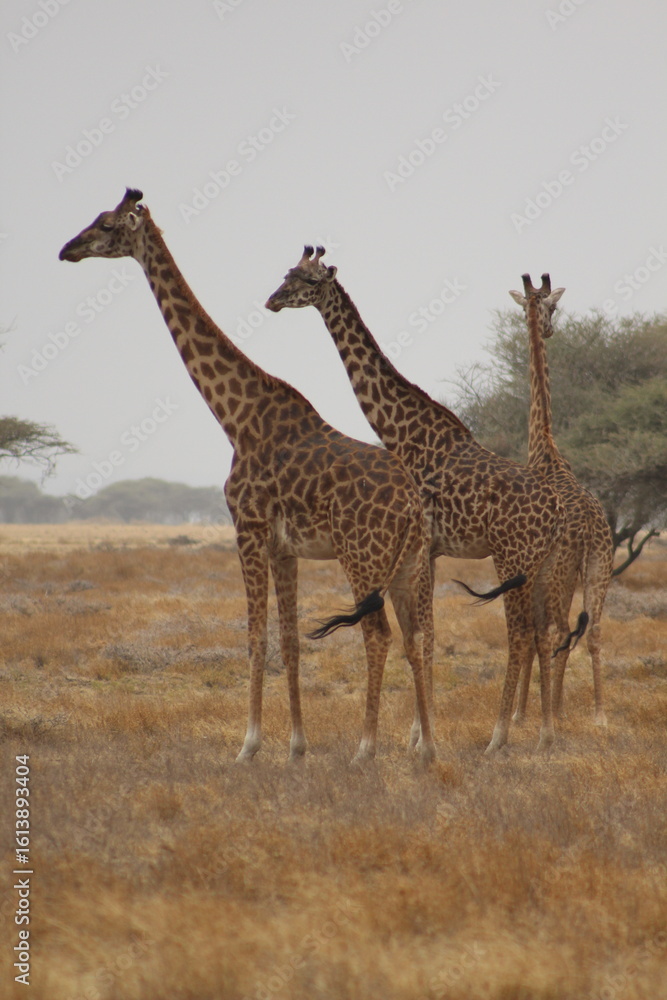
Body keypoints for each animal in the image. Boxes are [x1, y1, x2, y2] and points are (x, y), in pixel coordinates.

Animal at [58, 189, 435, 766]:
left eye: (104, 224)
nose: (67, 250)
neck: (235, 418)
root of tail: (413, 507)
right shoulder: (284, 547)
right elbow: (289, 640)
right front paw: (297, 746)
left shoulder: (248, 529)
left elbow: (255, 637)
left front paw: (249, 745)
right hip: (407, 562)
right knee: (416, 636)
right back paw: (428, 749)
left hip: (362, 556)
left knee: (378, 633)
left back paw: (366, 749)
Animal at [266, 247, 568, 754]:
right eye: (287, 272)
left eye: (307, 280)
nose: (272, 301)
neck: (402, 431)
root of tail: (557, 510)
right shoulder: (432, 551)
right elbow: (425, 636)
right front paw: (417, 735)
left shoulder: (422, 547)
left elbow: (422, 636)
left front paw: (420, 738)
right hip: (541, 564)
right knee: (544, 632)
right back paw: (545, 734)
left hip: (511, 558)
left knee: (522, 634)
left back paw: (498, 737)